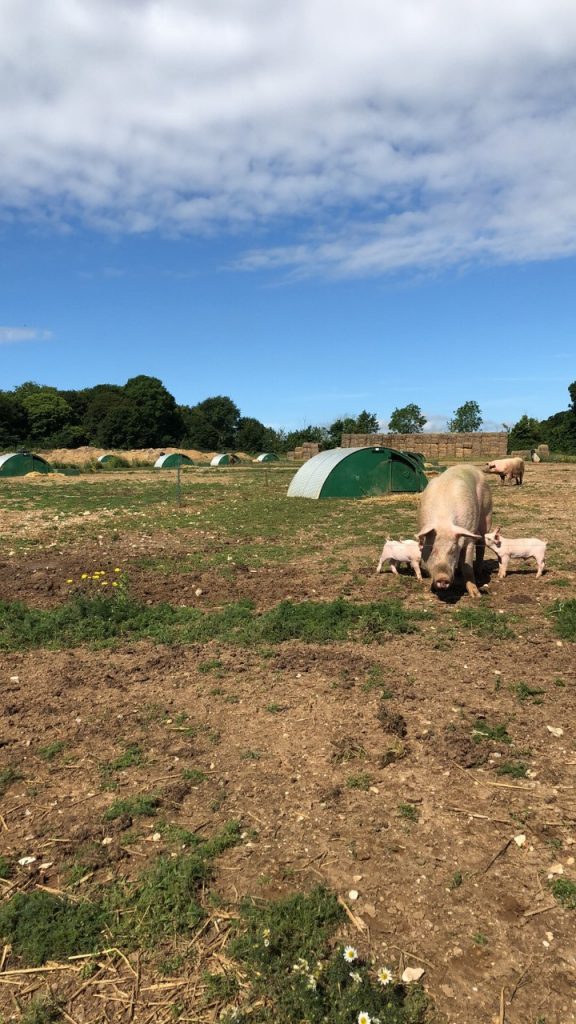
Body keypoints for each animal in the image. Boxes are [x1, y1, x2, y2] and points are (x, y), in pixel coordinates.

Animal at [414, 460, 491, 598]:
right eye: (432, 549)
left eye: (453, 550)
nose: (442, 578)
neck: (443, 520)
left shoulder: (469, 536)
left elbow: (468, 567)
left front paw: (476, 595)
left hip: (487, 514)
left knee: (482, 544)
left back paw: (478, 572)